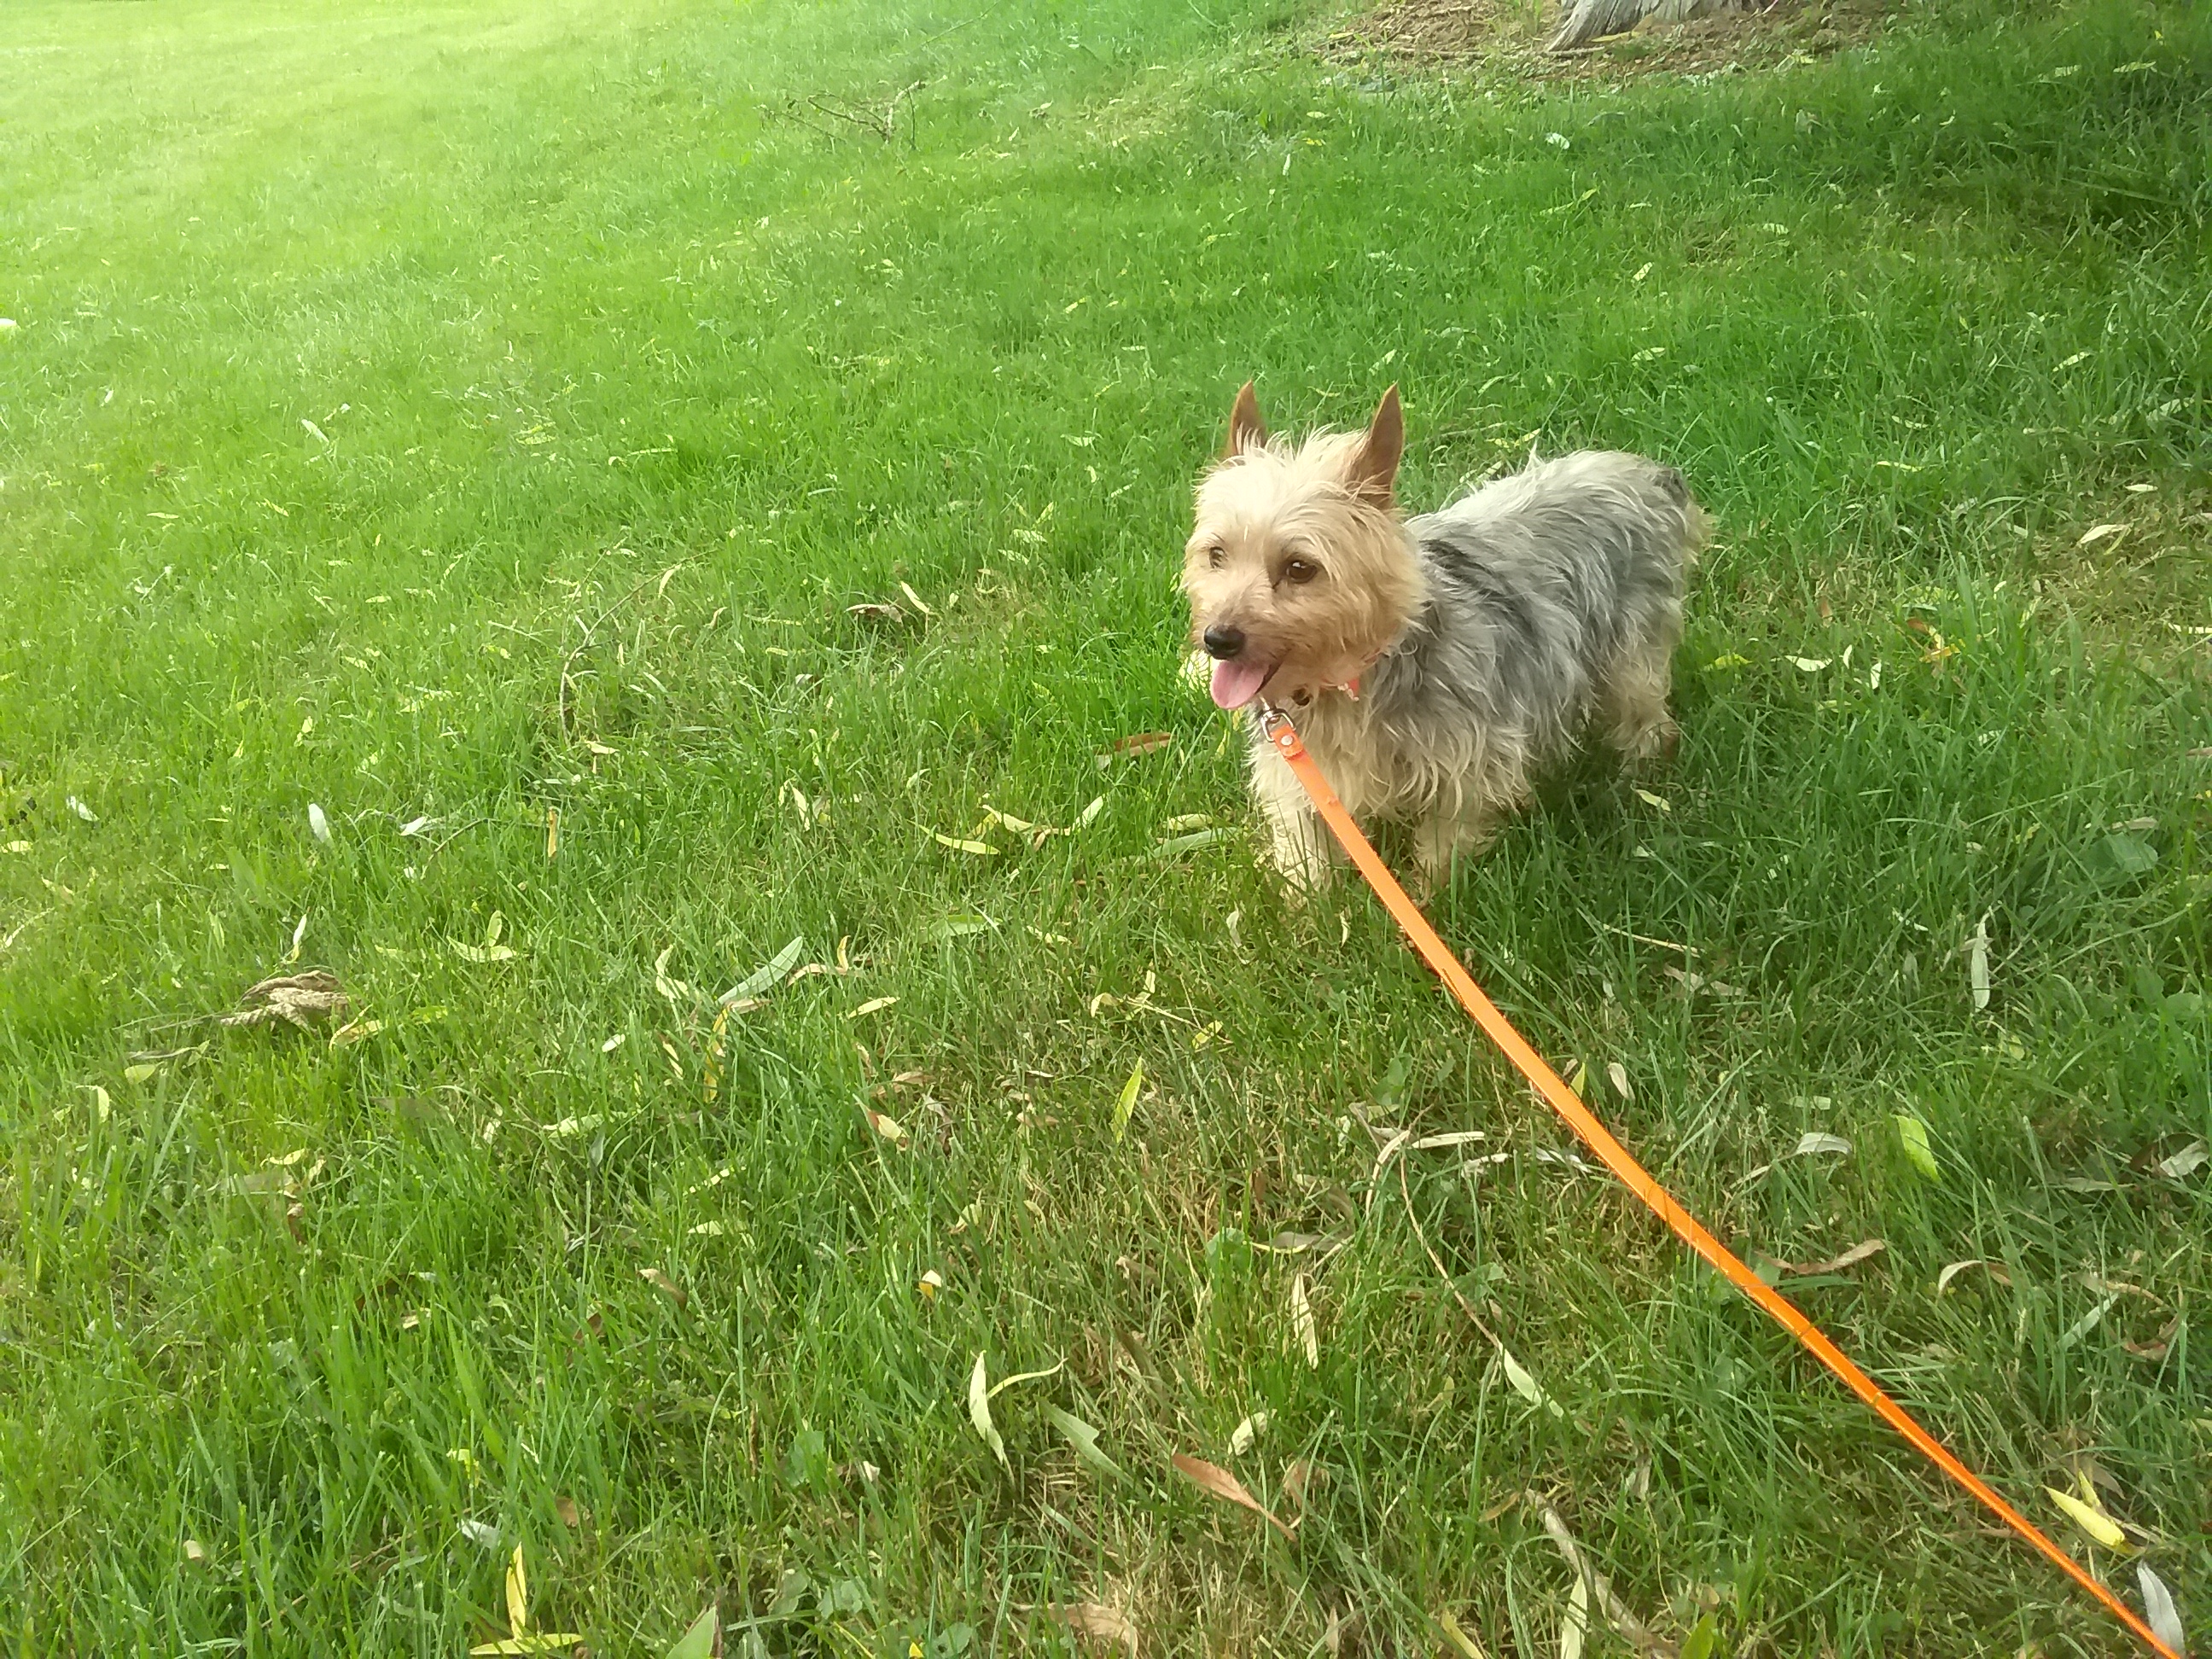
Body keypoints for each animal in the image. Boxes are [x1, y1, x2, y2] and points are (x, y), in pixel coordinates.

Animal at [1183, 382, 1705, 890]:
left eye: (1299, 568)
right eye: (1216, 554)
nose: (1217, 639)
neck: (1350, 681)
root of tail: (1644, 473)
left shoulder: (1468, 768)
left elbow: (1444, 848)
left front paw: (1430, 899)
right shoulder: (1299, 775)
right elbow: (1305, 853)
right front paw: (1307, 905)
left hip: (1632, 655)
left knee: (1647, 718)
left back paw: (1639, 777)